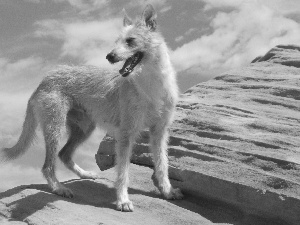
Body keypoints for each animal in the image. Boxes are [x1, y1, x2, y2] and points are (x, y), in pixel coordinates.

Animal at [2, 3, 183, 211]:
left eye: (130, 40)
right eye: (116, 41)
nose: (109, 56)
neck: (151, 85)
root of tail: (43, 80)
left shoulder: (159, 132)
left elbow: (162, 165)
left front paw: (168, 191)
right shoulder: (126, 135)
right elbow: (123, 172)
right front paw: (123, 200)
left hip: (84, 129)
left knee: (64, 154)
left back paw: (86, 175)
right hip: (55, 128)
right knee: (48, 166)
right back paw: (59, 188)